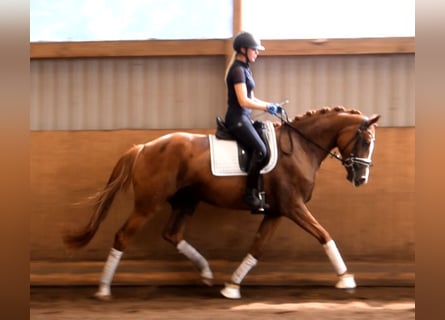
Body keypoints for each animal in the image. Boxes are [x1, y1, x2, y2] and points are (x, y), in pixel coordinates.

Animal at [63, 106, 378, 298]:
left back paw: (206, 272)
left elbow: (257, 247)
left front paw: (232, 286)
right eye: (365, 141)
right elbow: (324, 234)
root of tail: (144, 147)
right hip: (147, 204)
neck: (299, 148)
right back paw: (104, 289)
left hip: (186, 200)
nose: (361, 178)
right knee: (123, 236)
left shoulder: (276, 211)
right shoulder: (294, 206)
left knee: (172, 234)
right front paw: (346, 278)